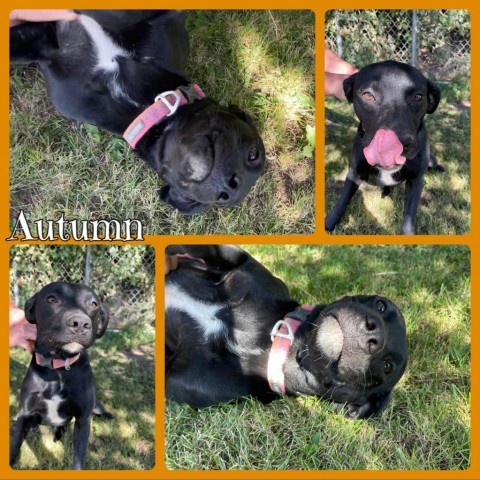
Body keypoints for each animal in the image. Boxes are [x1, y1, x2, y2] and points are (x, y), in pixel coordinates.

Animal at [10, 282, 111, 468]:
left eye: (93, 304)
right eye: (51, 299)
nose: (80, 323)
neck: (59, 368)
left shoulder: (83, 419)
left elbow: (78, 459)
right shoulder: (24, 413)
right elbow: (14, 447)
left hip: (95, 407)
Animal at [324, 61, 440, 233]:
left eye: (418, 97)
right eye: (368, 95)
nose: (392, 147)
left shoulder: (416, 181)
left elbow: (409, 216)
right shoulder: (354, 173)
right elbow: (343, 200)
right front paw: (330, 222)